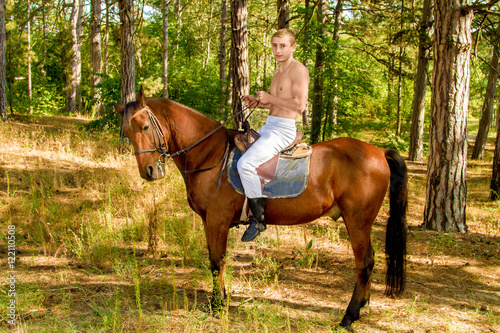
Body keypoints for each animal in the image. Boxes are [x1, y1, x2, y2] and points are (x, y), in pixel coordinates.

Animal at [115, 87, 408, 330]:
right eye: (127, 133)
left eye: (144, 126)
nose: (148, 171)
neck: (211, 154)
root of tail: (379, 151)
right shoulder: (209, 221)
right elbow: (216, 261)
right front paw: (219, 300)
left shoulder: (217, 220)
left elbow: (217, 262)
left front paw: (218, 306)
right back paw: (362, 307)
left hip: (357, 221)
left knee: (365, 262)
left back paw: (349, 316)